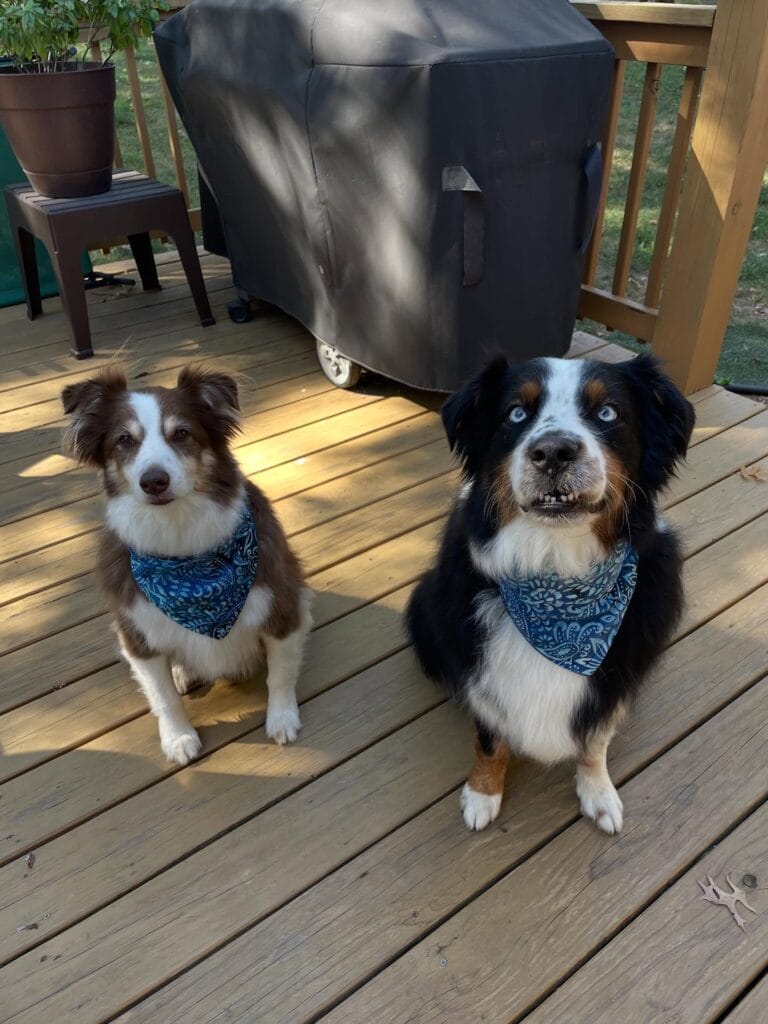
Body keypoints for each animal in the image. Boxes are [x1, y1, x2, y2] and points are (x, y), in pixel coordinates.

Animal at [61, 366, 312, 765]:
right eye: (124, 440)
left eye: (181, 433)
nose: (153, 481)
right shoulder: (137, 633)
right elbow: (162, 697)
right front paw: (178, 738)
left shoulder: (282, 607)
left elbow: (281, 673)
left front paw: (282, 719)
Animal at [407, 353, 694, 834]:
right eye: (515, 414)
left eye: (608, 412)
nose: (554, 452)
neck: (556, 567)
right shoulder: (480, 671)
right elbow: (490, 739)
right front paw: (483, 793)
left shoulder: (613, 678)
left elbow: (594, 742)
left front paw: (598, 793)